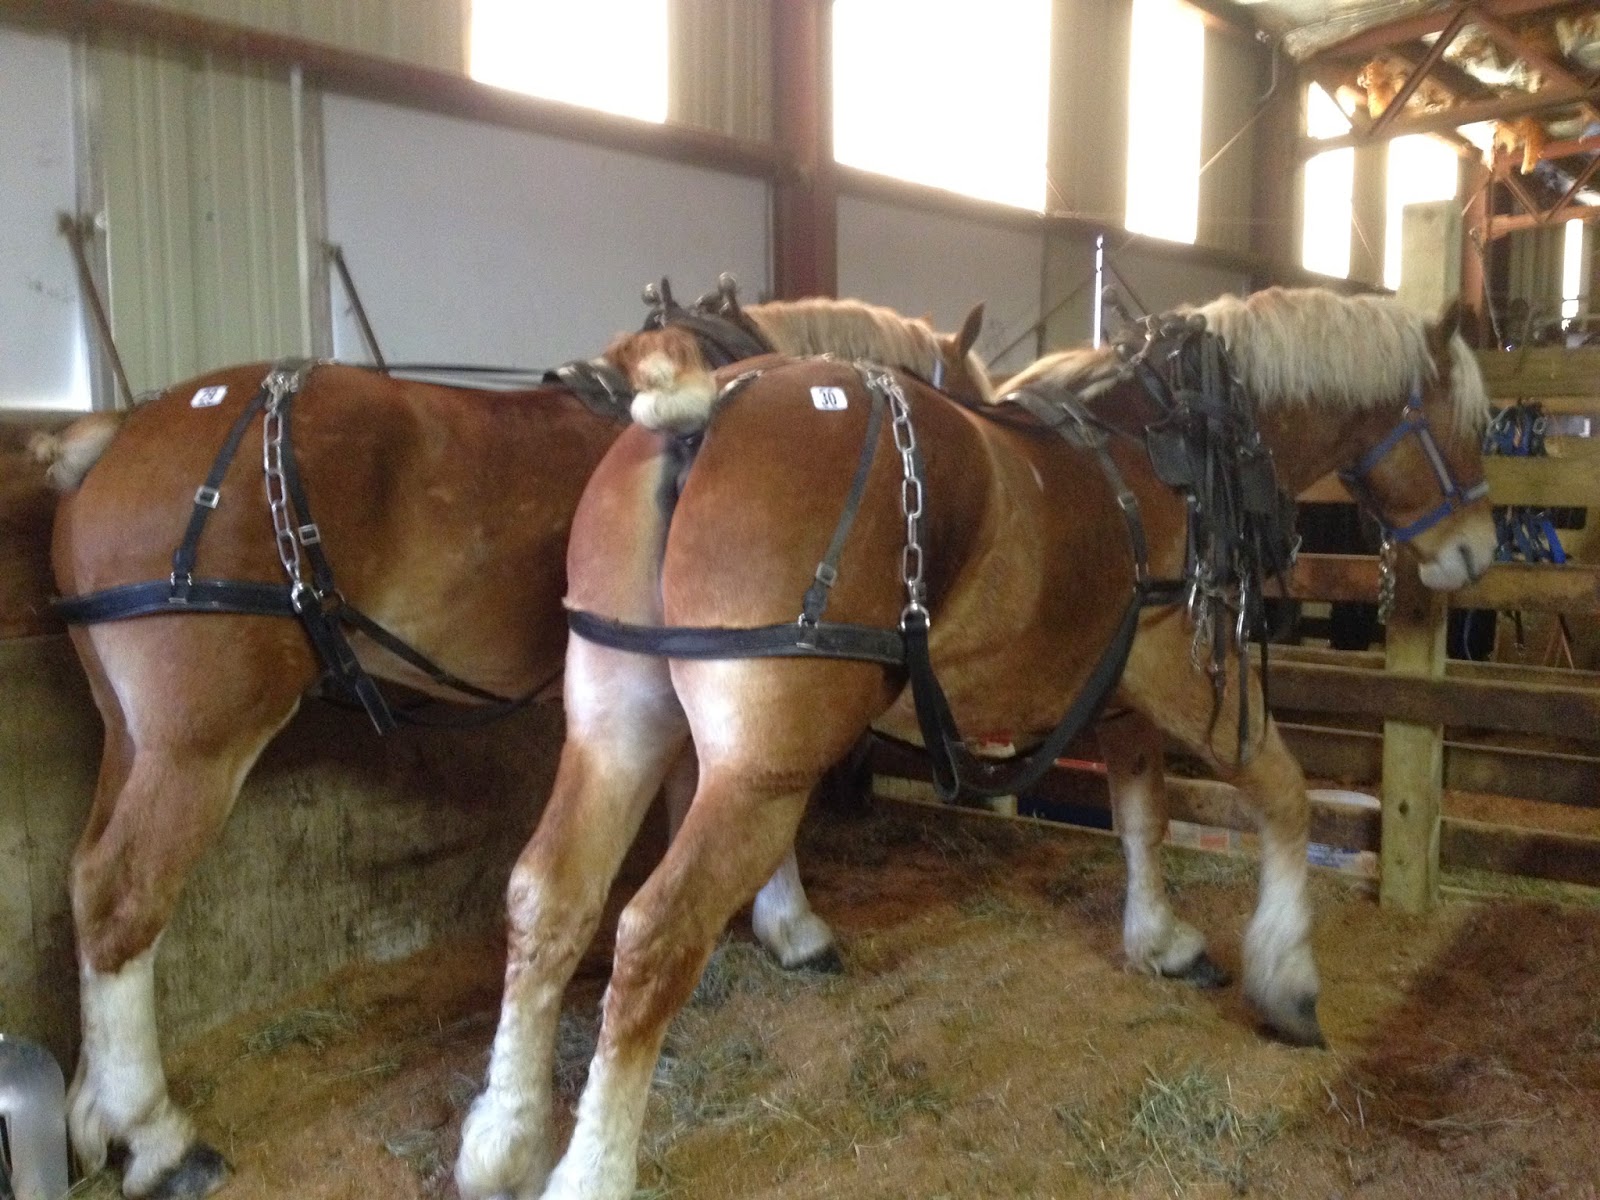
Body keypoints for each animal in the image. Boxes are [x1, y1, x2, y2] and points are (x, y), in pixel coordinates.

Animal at [37, 290, 988, 1200]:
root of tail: (118, 434)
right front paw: (795, 928)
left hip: (129, 733)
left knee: (83, 882)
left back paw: (92, 1116)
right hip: (194, 745)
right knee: (123, 897)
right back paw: (158, 1137)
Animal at [453, 286, 1498, 1200]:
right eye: (1476, 426)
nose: (1480, 550)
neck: (1173, 446)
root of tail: (700, 412)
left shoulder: (1115, 684)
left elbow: (1140, 813)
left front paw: (1159, 939)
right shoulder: (1181, 665)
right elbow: (1281, 791)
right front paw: (1287, 980)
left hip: (617, 722)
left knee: (548, 894)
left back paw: (503, 1142)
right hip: (758, 767)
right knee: (655, 934)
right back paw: (593, 1172)